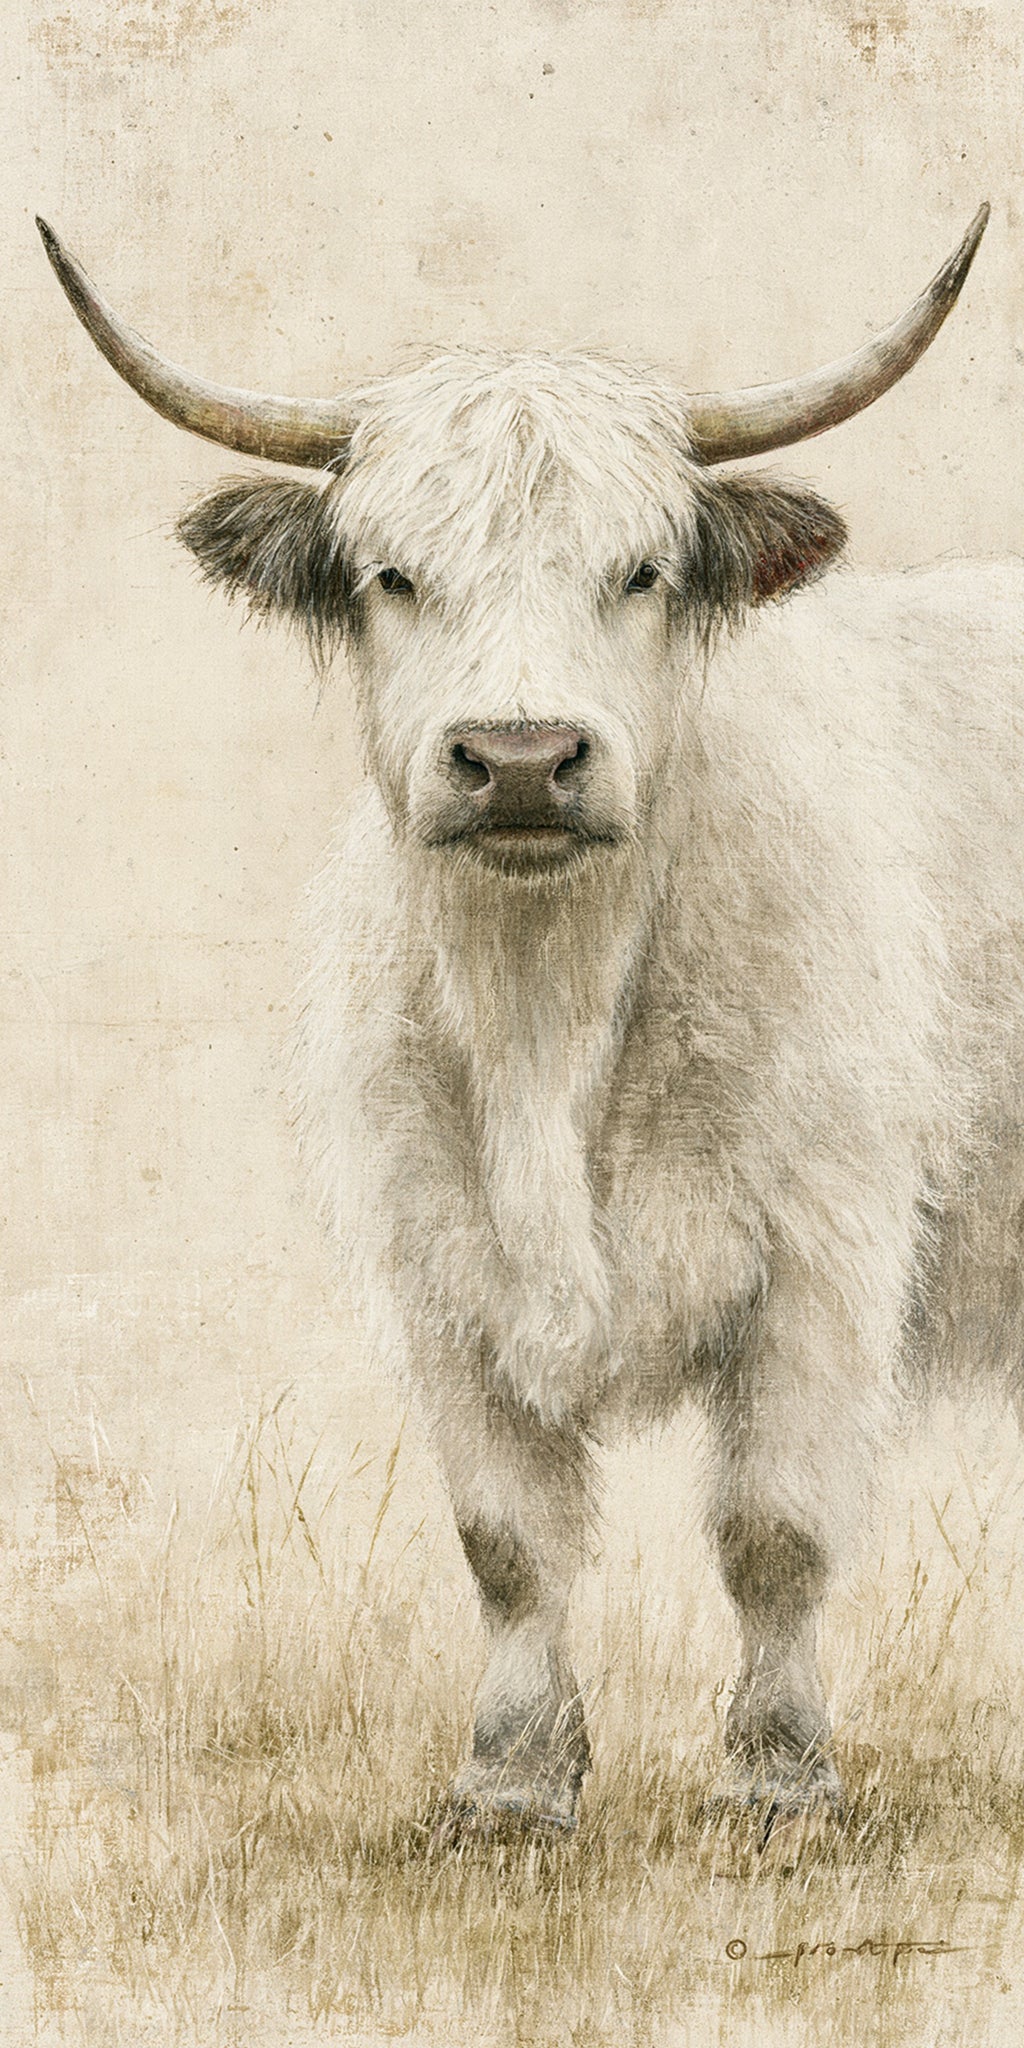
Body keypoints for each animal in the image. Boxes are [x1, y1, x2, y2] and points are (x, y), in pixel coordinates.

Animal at [39, 204, 1018, 1837]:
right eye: (390, 573)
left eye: (640, 571)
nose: (514, 760)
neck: (550, 1021)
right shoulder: (438, 1269)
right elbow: (505, 1541)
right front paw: (508, 1784)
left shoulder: (825, 1252)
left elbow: (773, 1527)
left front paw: (780, 1781)